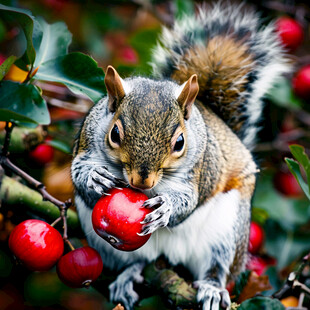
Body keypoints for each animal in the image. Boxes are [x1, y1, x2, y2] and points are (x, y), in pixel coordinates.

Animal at [71, 3, 290, 310]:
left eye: (180, 143)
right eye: (114, 134)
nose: (142, 182)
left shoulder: (199, 172)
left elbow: (187, 202)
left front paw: (166, 207)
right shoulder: (85, 144)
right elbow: (79, 174)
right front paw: (95, 178)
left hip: (228, 229)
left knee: (218, 265)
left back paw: (212, 288)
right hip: (106, 245)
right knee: (137, 262)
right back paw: (129, 275)